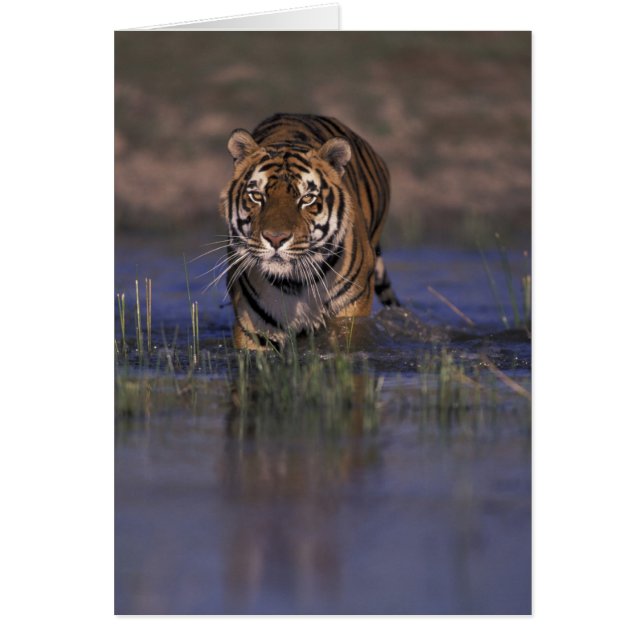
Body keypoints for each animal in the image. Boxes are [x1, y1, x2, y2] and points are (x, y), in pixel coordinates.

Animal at [219, 113, 400, 350]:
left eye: (307, 199)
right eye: (257, 196)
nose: (275, 238)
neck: (294, 283)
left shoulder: (350, 309)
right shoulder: (254, 324)